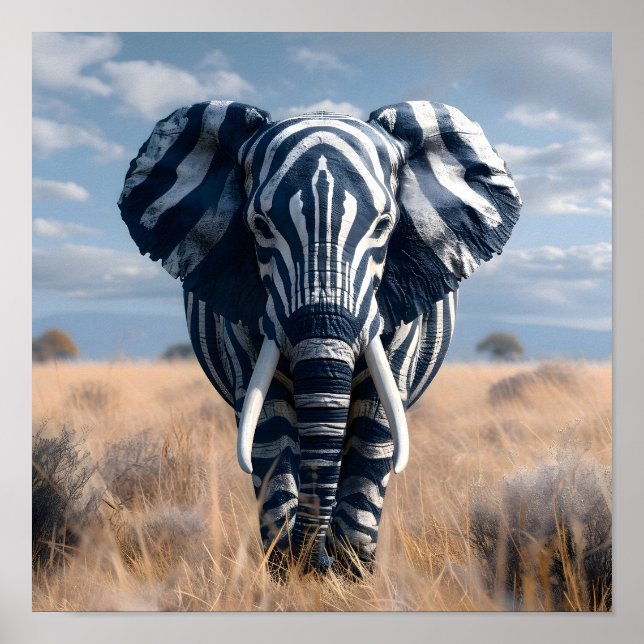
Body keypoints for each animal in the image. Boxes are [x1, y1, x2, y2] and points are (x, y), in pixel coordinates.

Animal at [118, 100, 521, 577]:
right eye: (259, 226)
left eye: (384, 226)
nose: (317, 562)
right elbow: (268, 423)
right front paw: (286, 569)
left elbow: (376, 423)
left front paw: (351, 571)